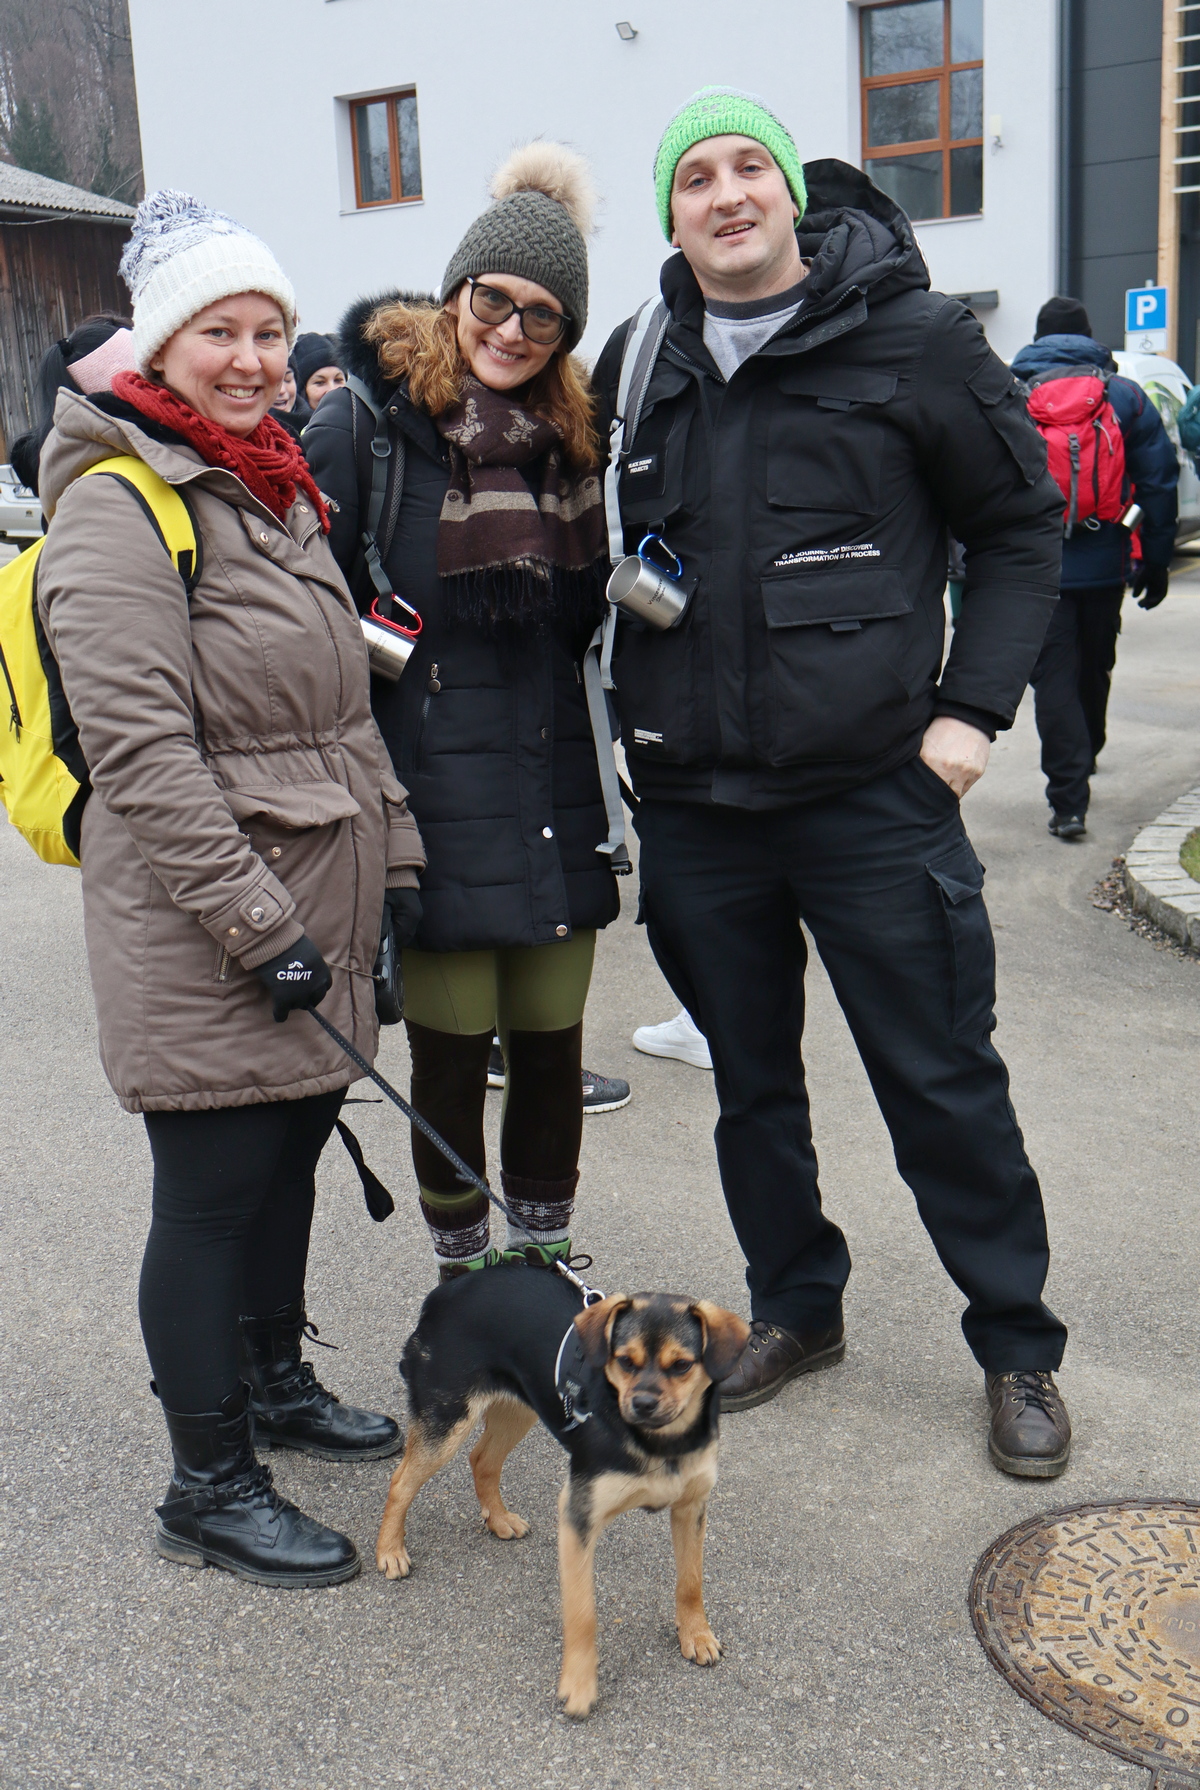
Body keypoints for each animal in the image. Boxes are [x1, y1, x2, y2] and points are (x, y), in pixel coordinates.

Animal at [374, 1268, 750, 1718]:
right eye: (624, 1360)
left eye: (681, 1365)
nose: (641, 1404)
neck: (661, 1442)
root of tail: (445, 1292)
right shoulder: (579, 1514)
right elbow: (582, 1613)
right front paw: (579, 1686)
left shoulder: (691, 1506)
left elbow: (691, 1580)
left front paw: (696, 1634)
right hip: (447, 1420)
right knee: (401, 1482)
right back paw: (390, 1550)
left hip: (521, 1406)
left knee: (482, 1459)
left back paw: (498, 1519)